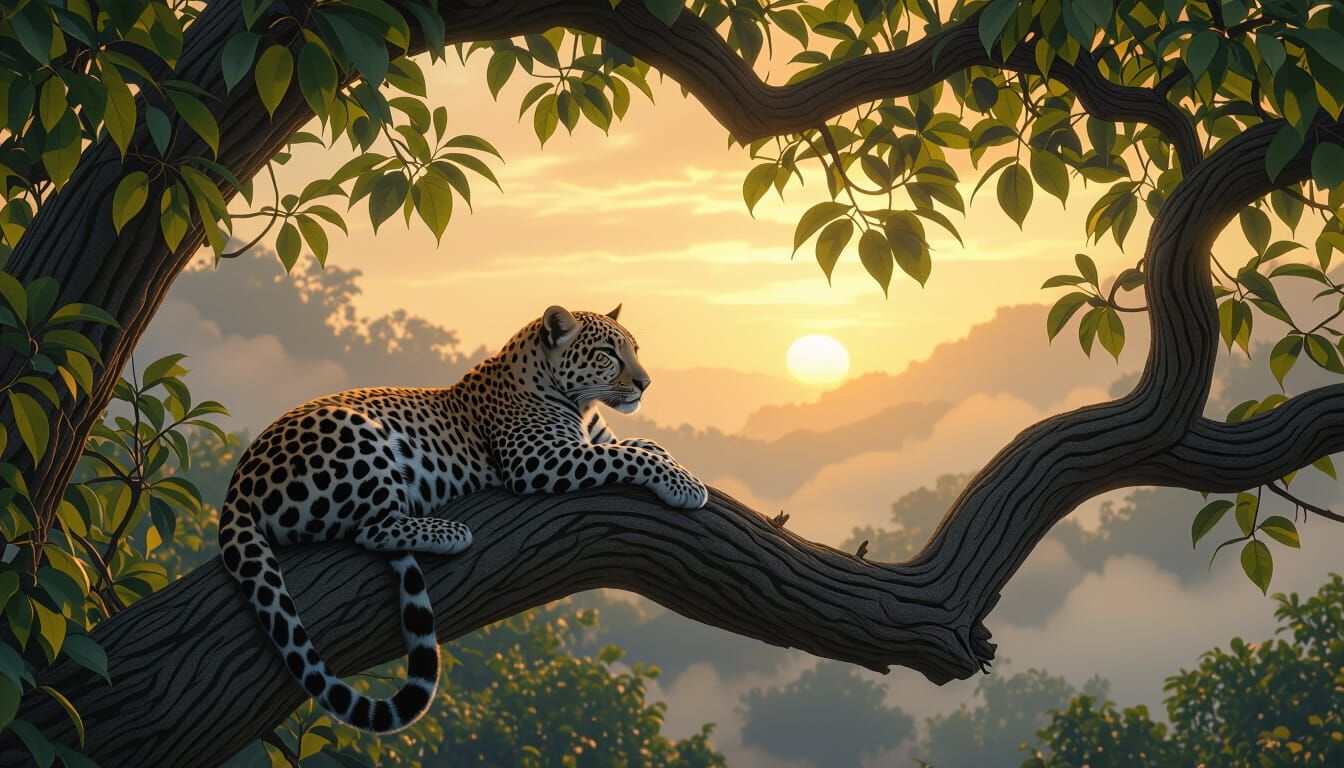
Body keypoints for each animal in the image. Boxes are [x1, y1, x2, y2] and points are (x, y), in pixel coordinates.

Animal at [217, 304, 708, 733]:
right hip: (355, 432)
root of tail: (238, 482)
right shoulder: (540, 461)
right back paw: (449, 531)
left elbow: (644, 446)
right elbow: (630, 457)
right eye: (607, 353)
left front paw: (675, 465)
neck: (583, 410)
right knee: (372, 529)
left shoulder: (591, 442)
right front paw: (685, 486)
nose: (646, 383)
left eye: (635, 350)